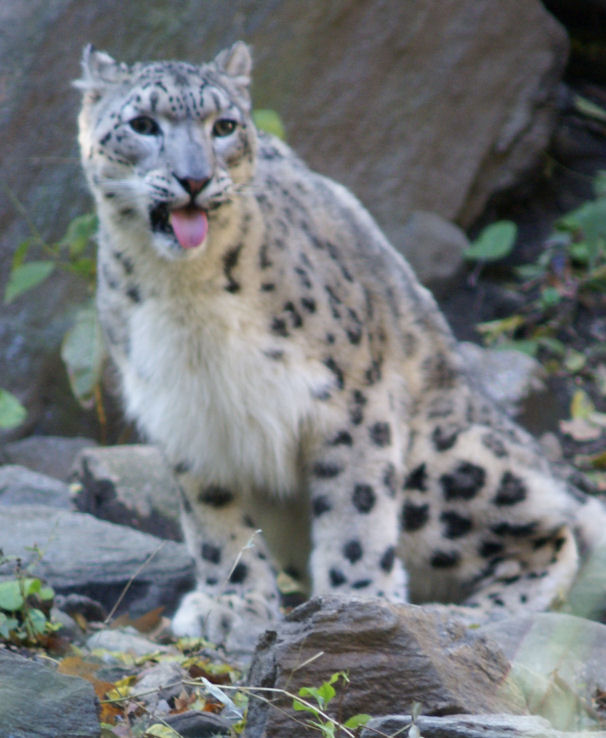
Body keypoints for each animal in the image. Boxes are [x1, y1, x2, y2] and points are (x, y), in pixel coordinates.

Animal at [76, 41, 606, 652]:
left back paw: (472, 612)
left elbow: (357, 506)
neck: (188, 299)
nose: (194, 178)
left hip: (438, 468)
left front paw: (358, 597)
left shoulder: (349, 397)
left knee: (554, 534)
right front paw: (229, 603)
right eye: (143, 124)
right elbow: (214, 515)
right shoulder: (187, 413)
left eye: (224, 126)